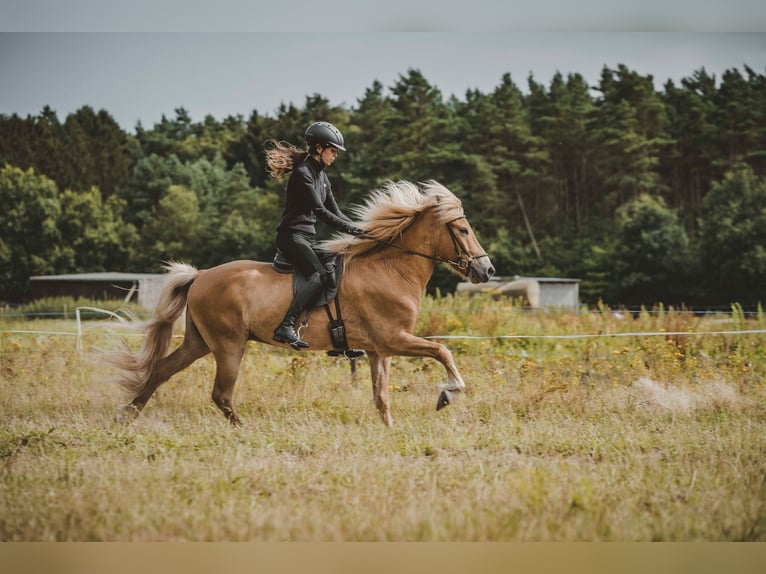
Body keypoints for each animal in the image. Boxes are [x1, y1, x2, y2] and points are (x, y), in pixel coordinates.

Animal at [105, 180, 496, 428]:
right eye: (463, 230)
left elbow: (381, 395)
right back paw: (242, 430)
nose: (486, 270)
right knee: (221, 394)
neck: (391, 269)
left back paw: (128, 414)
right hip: (229, 345)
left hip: (199, 342)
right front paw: (447, 395)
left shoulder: (379, 349)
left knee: (161, 370)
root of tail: (200, 275)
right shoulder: (394, 339)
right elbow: (443, 351)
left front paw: (389, 428)